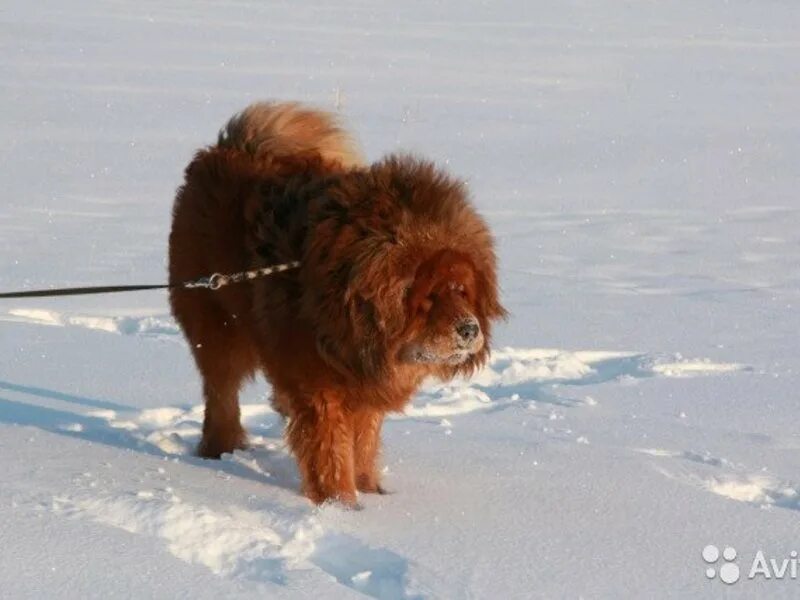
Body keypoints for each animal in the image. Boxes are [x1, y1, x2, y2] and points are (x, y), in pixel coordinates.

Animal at [169, 103, 506, 506]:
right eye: (430, 296)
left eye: (463, 291)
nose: (469, 329)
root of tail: (224, 148)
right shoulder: (321, 393)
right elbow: (330, 453)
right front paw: (340, 504)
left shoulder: (364, 391)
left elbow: (363, 444)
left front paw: (371, 493)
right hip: (218, 330)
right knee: (222, 395)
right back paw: (219, 450)